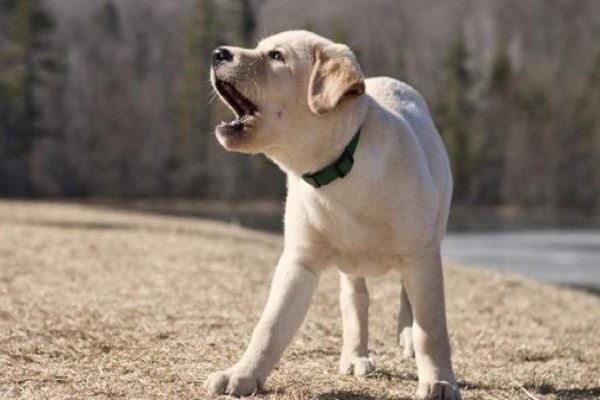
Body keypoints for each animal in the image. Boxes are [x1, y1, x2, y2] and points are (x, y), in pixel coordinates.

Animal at [205, 29, 460, 398]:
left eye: (277, 56)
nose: (217, 53)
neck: (338, 168)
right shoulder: (299, 261)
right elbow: (270, 325)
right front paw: (242, 374)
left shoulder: (420, 254)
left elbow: (431, 326)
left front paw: (438, 380)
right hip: (352, 266)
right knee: (356, 301)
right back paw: (355, 356)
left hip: (432, 231)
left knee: (407, 297)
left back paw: (406, 336)